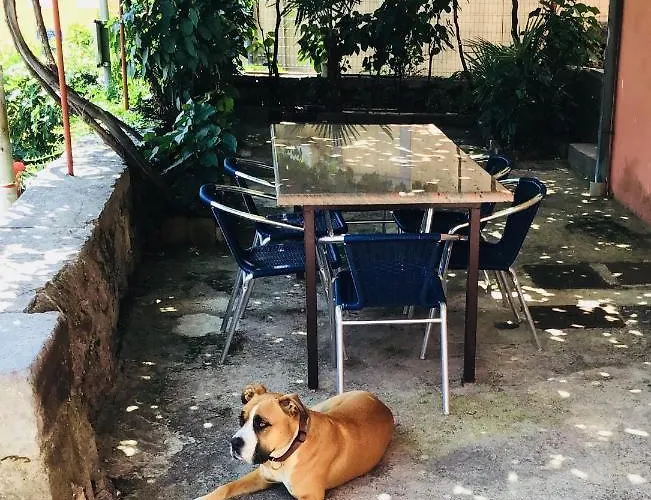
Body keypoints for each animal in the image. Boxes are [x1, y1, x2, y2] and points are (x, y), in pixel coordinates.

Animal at [193, 384, 394, 500]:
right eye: (241, 419)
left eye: (262, 424)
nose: (234, 443)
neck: (286, 453)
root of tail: (381, 403)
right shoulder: (262, 476)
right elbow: (226, 487)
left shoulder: (310, 496)